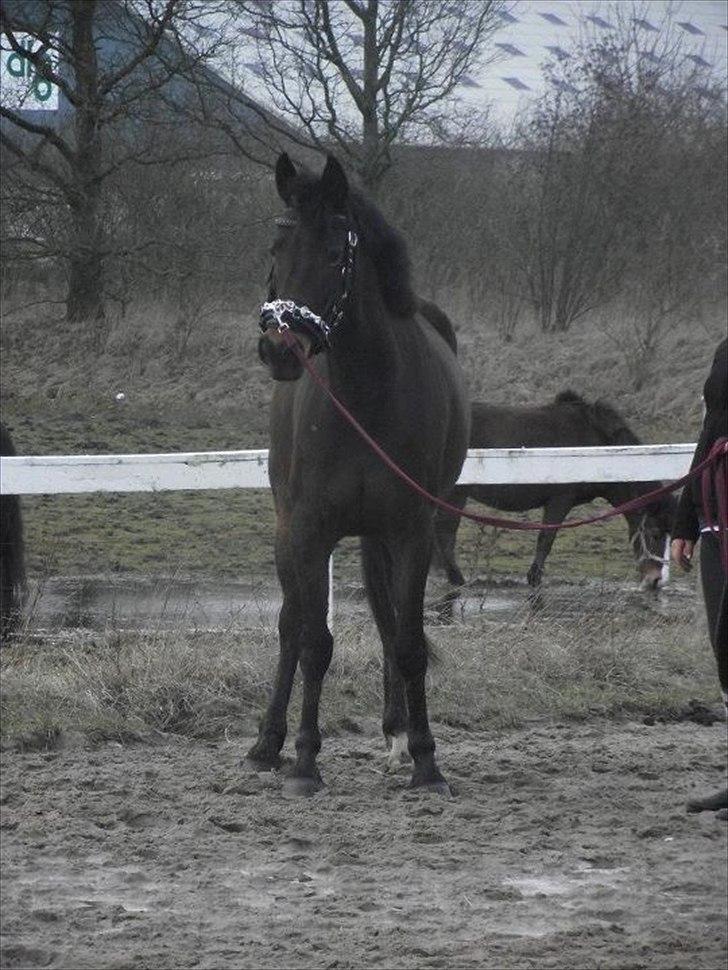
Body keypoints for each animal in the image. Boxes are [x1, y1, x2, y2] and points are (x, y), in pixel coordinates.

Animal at [250, 153, 470, 796]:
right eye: (276, 248)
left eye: (333, 253)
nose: (280, 348)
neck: (368, 393)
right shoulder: (310, 531)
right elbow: (313, 642)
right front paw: (304, 761)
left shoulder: (411, 532)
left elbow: (409, 642)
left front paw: (425, 760)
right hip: (287, 532)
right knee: (290, 625)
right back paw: (265, 746)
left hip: (381, 536)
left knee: (387, 622)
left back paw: (396, 733)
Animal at [432, 390, 676, 608]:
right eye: (654, 533)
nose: (656, 581)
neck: (594, 448)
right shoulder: (560, 500)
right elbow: (546, 539)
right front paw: (534, 579)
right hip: (456, 494)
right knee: (445, 533)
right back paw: (458, 580)